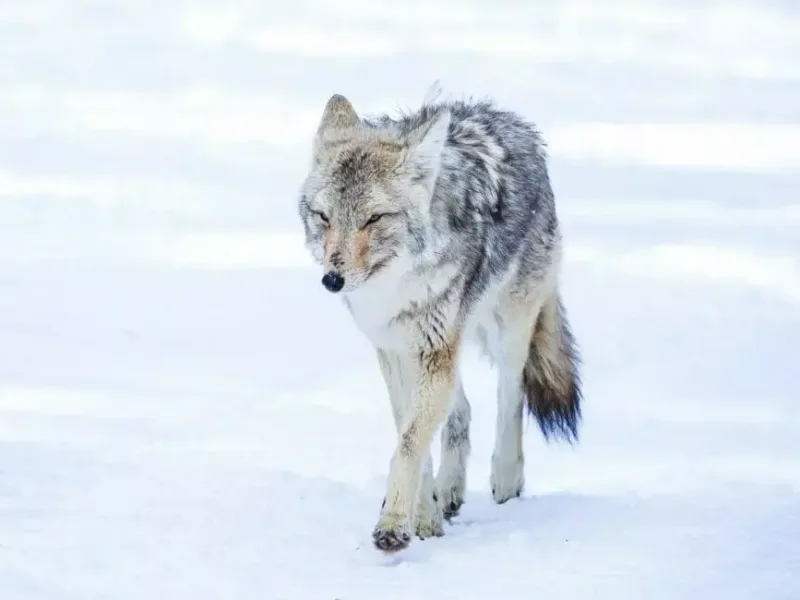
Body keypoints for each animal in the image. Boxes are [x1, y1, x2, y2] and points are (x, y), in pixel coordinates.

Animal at [297, 85, 582, 553]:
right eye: (324, 216)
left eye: (374, 218)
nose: (332, 280)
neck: (395, 286)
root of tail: (515, 123)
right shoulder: (394, 349)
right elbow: (409, 433)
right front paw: (425, 518)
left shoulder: (431, 350)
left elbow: (410, 442)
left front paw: (394, 526)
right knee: (461, 411)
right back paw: (449, 493)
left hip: (506, 330)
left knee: (511, 395)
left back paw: (506, 482)